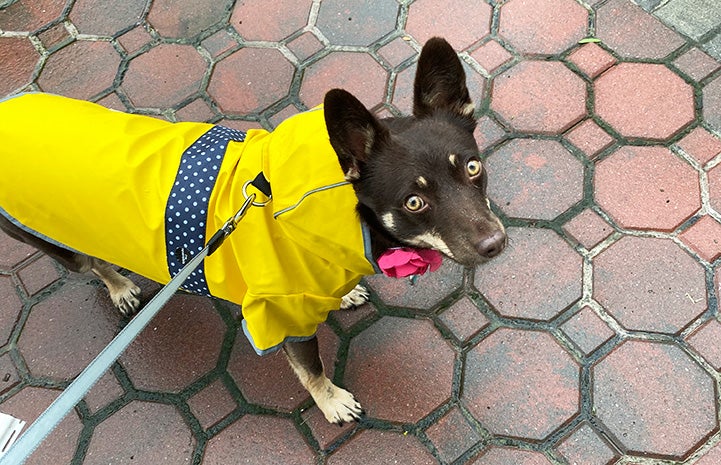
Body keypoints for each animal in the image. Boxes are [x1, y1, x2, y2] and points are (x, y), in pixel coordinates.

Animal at [0, 39, 506, 424]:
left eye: (473, 167)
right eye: (413, 202)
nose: (496, 243)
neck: (340, 212)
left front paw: (344, 294)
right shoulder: (282, 319)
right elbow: (312, 370)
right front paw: (331, 402)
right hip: (56, 243)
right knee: (90, 266)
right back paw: (120, 286)